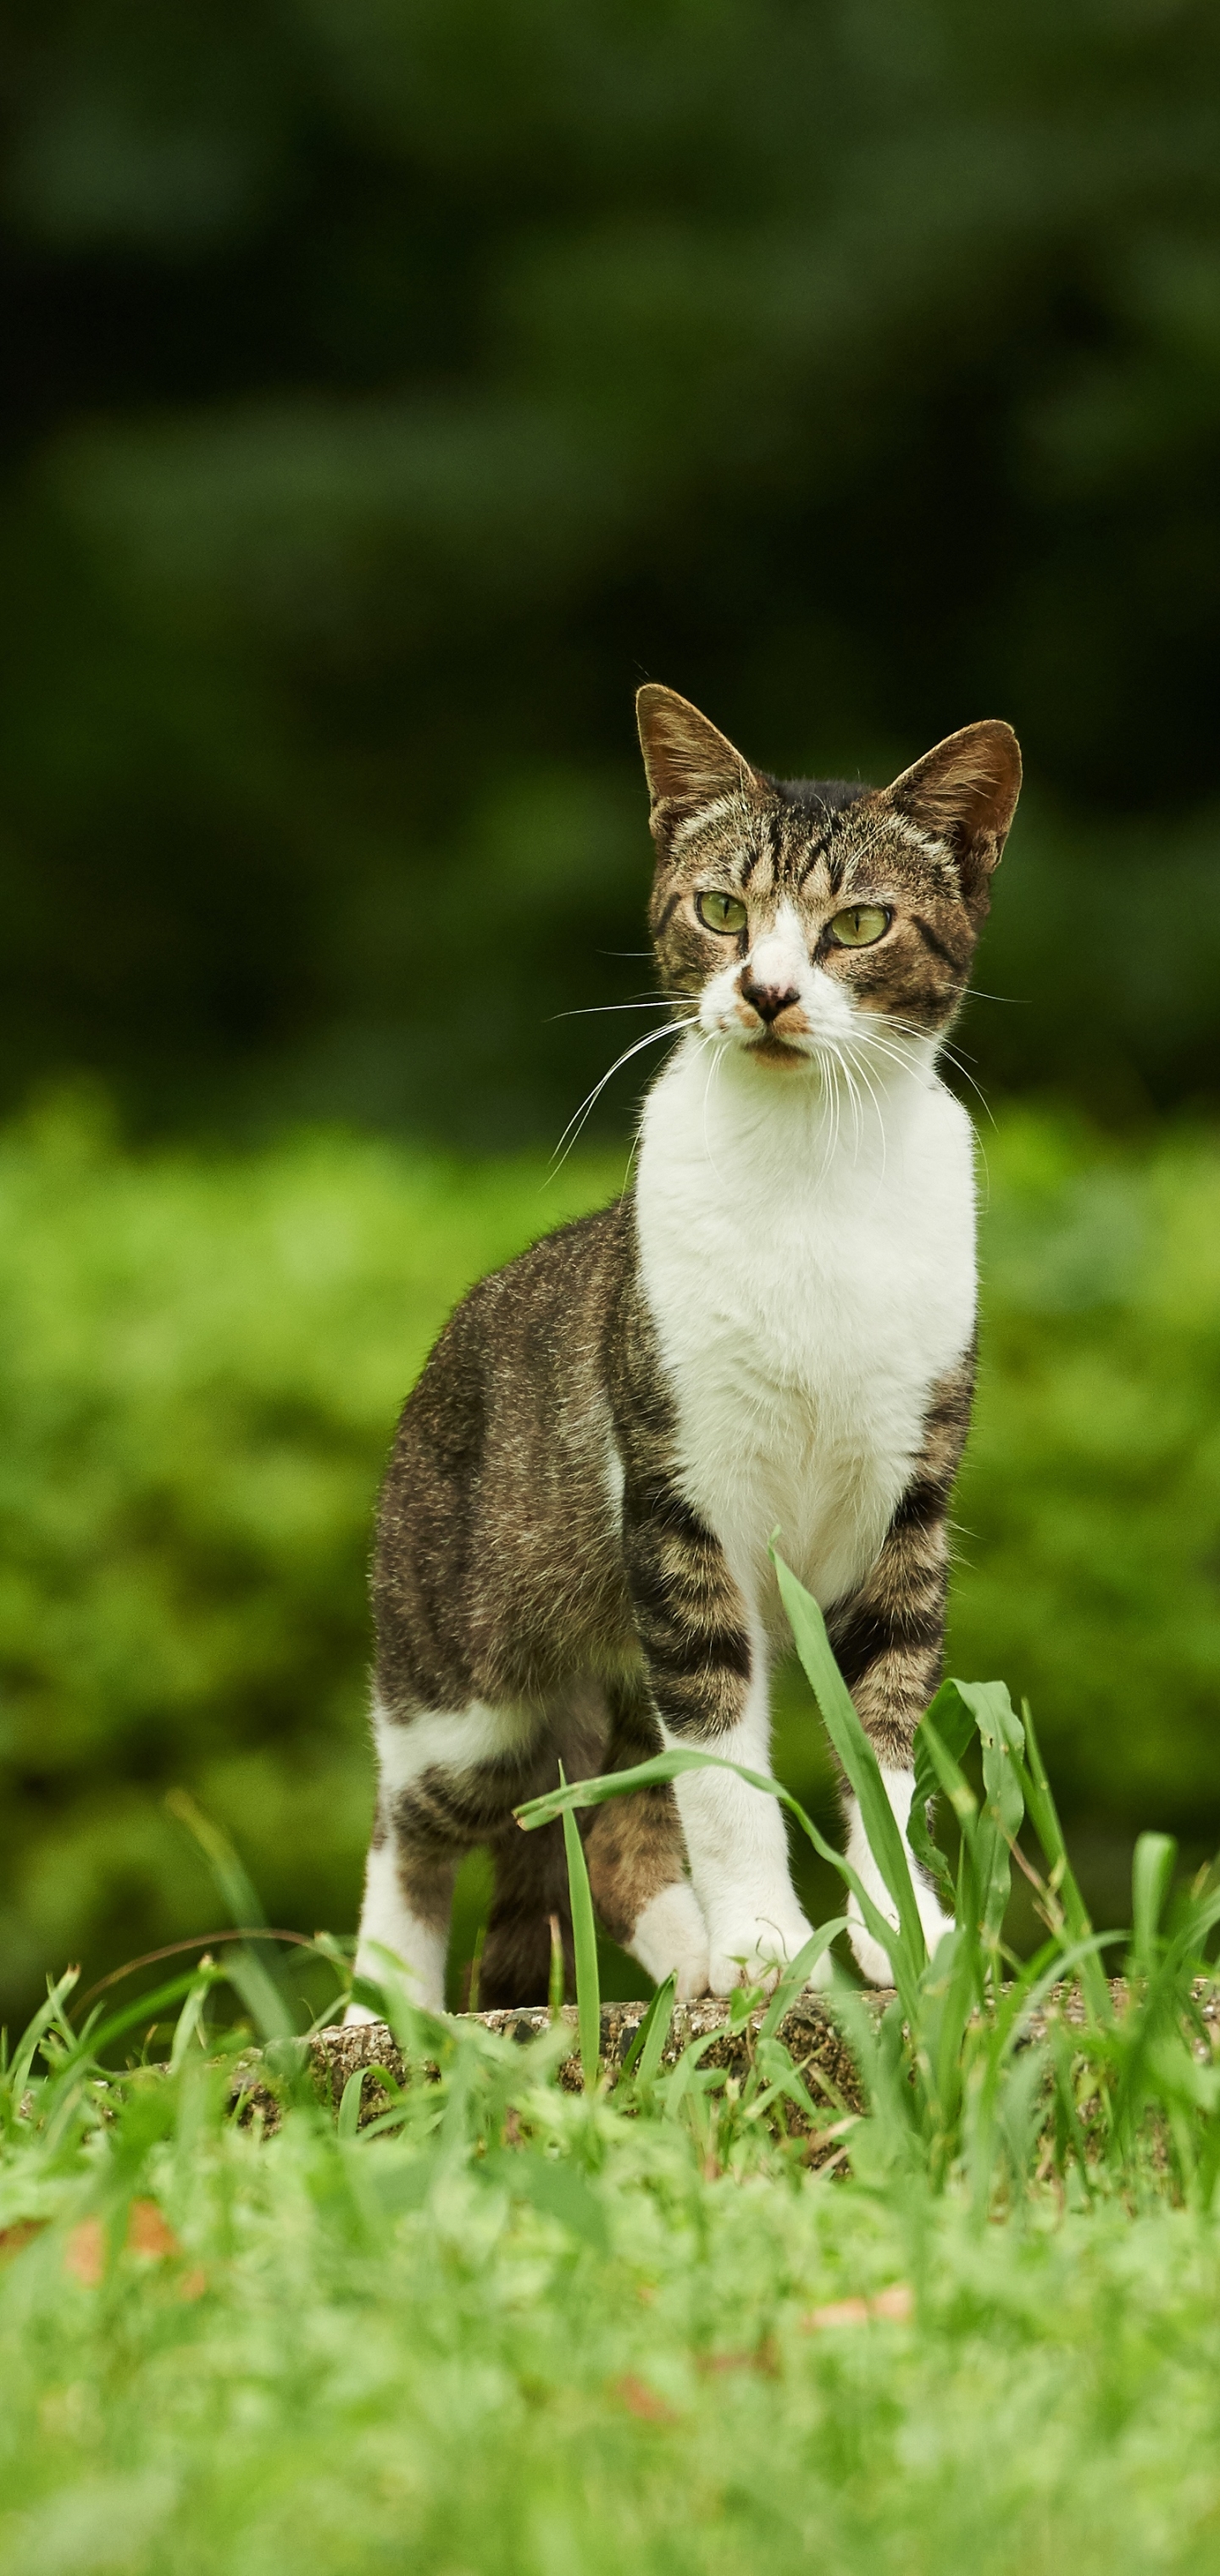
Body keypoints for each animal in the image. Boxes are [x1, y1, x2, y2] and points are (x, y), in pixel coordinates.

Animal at [345, 695, 1019, 2019]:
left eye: (858, 925)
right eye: (719, 910)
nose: (766, 990)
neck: (810, 1173)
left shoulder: (907, 1504)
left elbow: (882, 1730)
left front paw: (902, 1934)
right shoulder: (679, 1503)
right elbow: (722, 1762)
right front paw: (765, 1941)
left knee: (603, 1823)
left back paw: (688, 1959)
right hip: (468, 1681)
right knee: (420, 1825)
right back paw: (383, 2009)